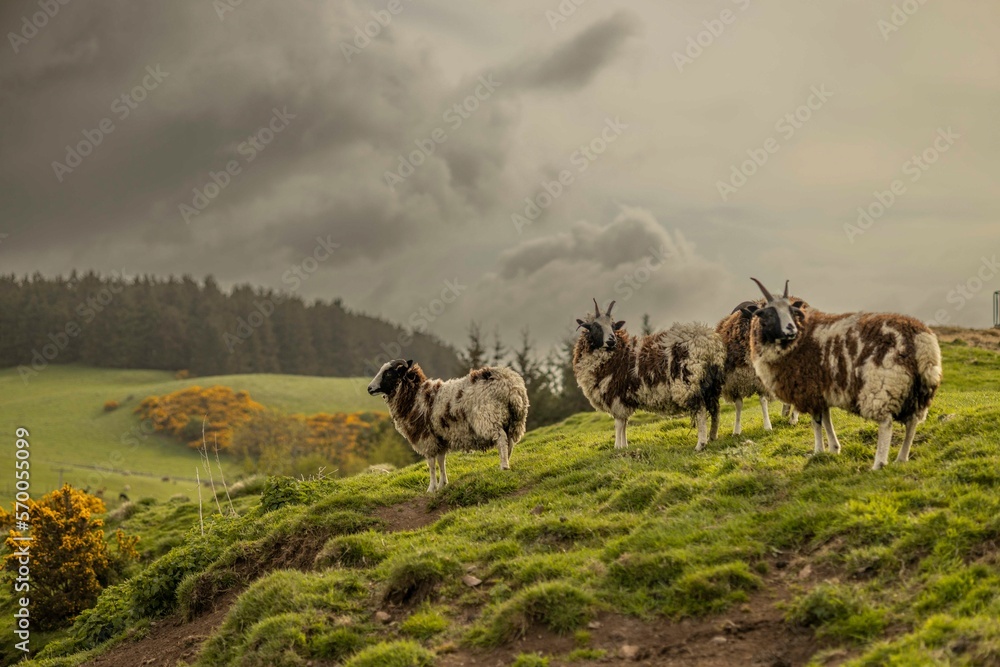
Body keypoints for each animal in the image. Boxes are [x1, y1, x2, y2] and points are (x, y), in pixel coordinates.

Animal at [367, 359, 529, 492]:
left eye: (388, 374)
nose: (369, 388)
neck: (414, 397)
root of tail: (511, 385)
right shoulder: (440, 437)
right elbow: (441, 461)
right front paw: (442, 484)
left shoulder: (427, 438)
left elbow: (431, 464)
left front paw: (431, 488)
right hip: (514, 419)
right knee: (510, 442)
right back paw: (507, 461)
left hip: (489, 418)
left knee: (501, 439)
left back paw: (504, 466)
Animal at [573, 299, 725, 451]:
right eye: (595, 327)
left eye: (613, 326)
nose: (611, 340)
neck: (616, 353)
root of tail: (709, 343)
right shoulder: (624, 399)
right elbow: (624, 423)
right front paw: (624, 446)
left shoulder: (616, 396)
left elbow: (619, 424)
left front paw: (618, 446)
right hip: (711, 385)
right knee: (715, 410)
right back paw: (713, 437)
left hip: (689, 382)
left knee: (700, 411)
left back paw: (701, 444)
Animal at [716, 297, 807, 434]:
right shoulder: (735, 382)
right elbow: (738, 405)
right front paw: (736, 430)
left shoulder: (761, 382)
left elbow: (763, 401)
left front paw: (767, 426)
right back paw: (786, 412)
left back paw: (793, 418)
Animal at [747, 278, 943, 469]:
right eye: (767, 314)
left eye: (792, 311)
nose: (790, 330)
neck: (798, 339)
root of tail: (922, 340)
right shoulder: (822, 392)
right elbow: (827, 420)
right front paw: (834, 449)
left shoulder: (810, 390)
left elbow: (816, 423)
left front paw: (818, 451)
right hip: (918, 390)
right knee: (912, 423)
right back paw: (901, 459)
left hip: (883, 386)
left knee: (886, 423)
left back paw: (879, 463)